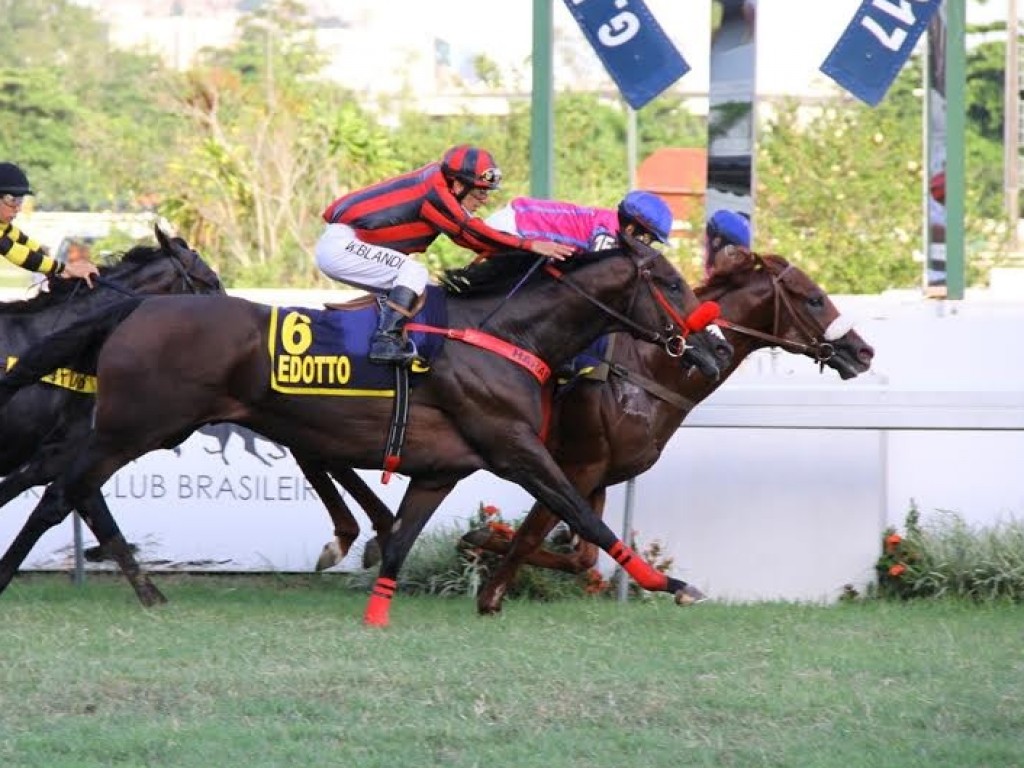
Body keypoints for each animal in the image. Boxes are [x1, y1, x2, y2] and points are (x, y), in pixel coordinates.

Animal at [0, 243, 720, 626]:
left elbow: (400, 539)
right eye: (672, 281)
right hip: (134, 429)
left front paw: (377, 613)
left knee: (61, 492)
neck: (502, 335)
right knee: (60, 495)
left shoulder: (440, 470)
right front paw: (672, 585)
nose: (712, 350)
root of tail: (136, 308)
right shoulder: (514, 447)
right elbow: (579, 512)